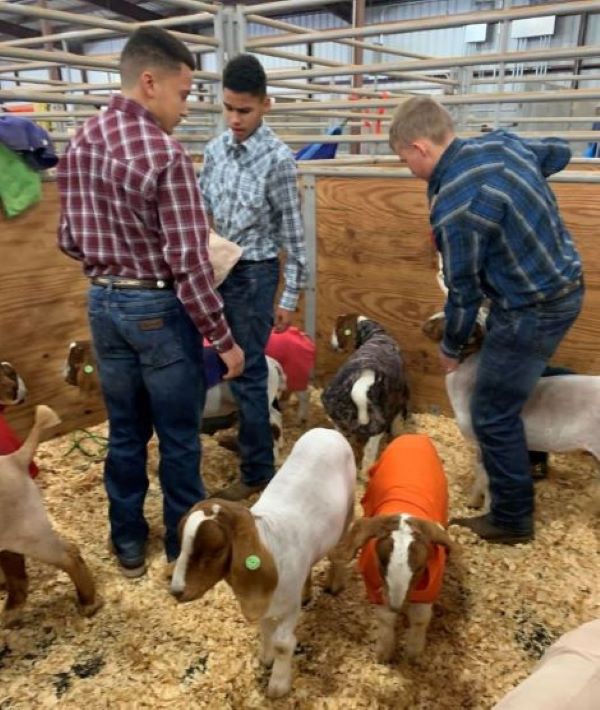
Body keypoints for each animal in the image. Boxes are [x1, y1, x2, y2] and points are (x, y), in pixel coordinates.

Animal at [170, 428, 356, 700]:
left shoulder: (288, 607)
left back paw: (335, 584)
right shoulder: (265, 601)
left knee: (339, 551)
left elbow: (283, 643)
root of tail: (327, 431)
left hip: (348, 512)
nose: (176, 590)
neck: (269, 542)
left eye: (215, 550)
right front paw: (266, 658)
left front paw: (279, 685)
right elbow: (266, 629)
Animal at [322, 316, 410, 472]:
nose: (332, 344)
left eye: (337, 328)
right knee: (370, 452)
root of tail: (364, 380)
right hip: (377, 424)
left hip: (337, 415)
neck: (376, 334)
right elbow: (398, 421)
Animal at [338, 436, 450, 664]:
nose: (397, 605)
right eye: (381, 563)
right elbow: (385, 619)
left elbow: (420, 618)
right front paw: (385, 654)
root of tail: (413, 436)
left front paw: (414, 654)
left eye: (420, 568)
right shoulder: (375, 584)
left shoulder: (430, 587)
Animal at [422, 314, 600, 508]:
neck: (470, 386)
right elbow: (479, 476)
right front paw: (472, 502)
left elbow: (487, 481)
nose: (424, 326)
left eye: (449, 322)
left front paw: (485, 507)